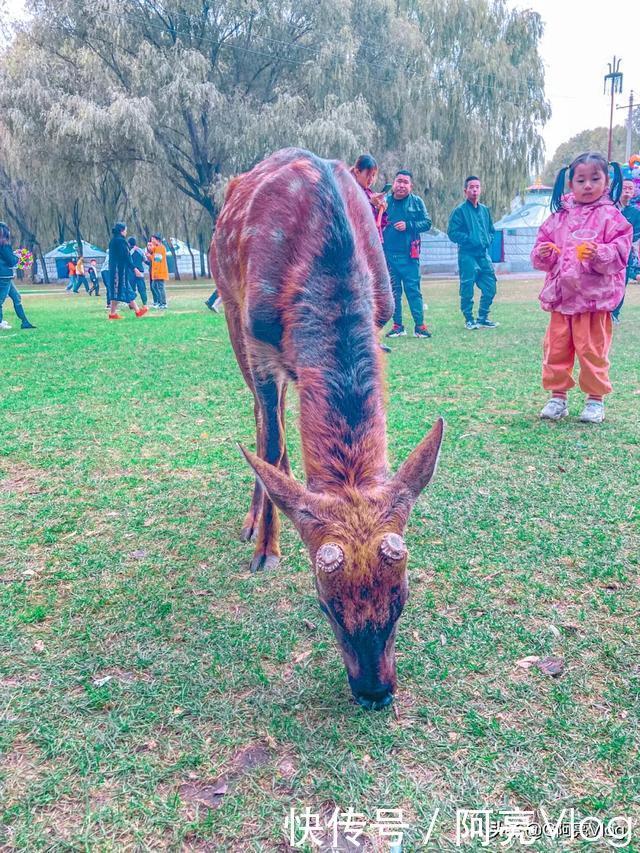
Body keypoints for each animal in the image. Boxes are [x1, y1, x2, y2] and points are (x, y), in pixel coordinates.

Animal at [210, 150, 444, 708]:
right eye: (323, 605)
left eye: (402, 599)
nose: (375, 692)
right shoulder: (257, 339)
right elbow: (271, 441)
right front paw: (266, 552)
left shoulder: (379, 316)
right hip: (230, 312)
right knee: (263, 418)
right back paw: (255, 523)